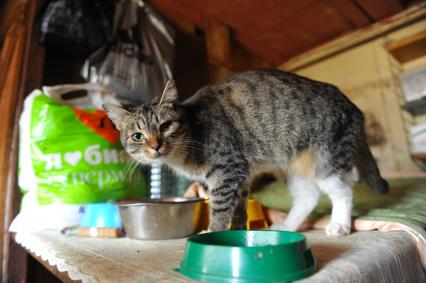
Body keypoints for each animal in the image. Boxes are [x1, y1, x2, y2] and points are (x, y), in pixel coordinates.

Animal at [105, 69, 388, 237]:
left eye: (165, 126)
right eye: (137, 136)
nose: (155, 145)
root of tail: (355, 109)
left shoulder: (228, 170)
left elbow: (220, 209)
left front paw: (212, 233)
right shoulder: (237, 178)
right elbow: (238, 210)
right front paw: (236, 231)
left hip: (325, 159)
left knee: (343, 190)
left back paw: (339, 224)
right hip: (295, 167)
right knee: (308, 197)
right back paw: (288, 226)